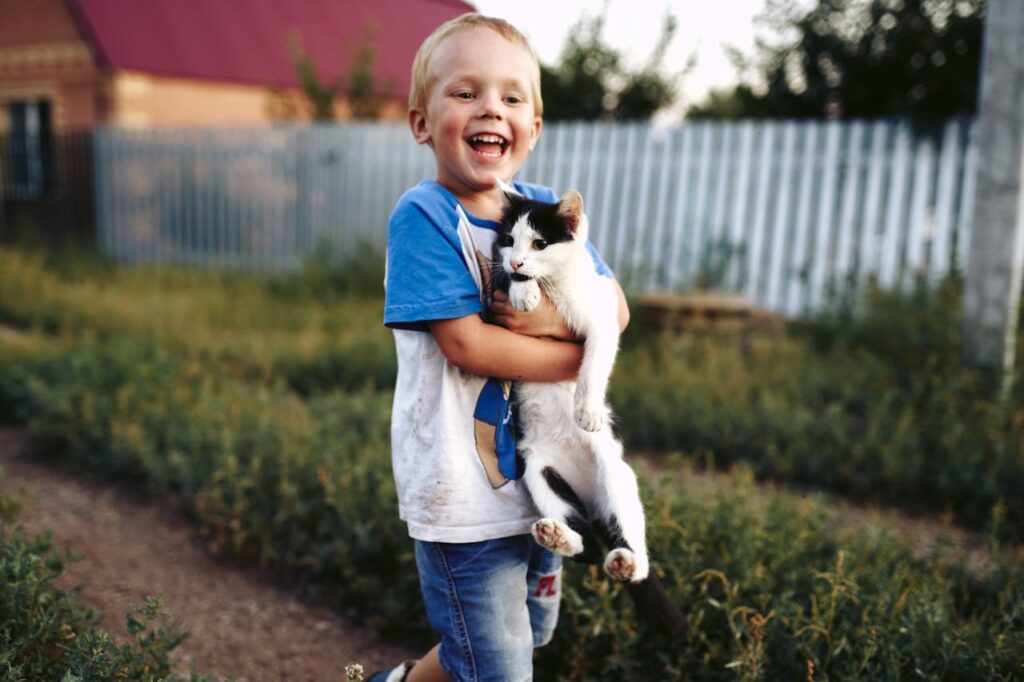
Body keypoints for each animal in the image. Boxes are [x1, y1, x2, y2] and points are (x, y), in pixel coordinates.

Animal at [495, 183, 647, 581]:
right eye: (509, 240)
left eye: (540, 243)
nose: (516, 262)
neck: (558, 286)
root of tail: (590, 504)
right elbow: (504, 279)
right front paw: (523, 288)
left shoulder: (604, 317)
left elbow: (594, 363)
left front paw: (587, 411)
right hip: (538, 471)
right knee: (587, 545)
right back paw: (558, 535)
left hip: (615, 472)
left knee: (626, 542)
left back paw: (627, 562)